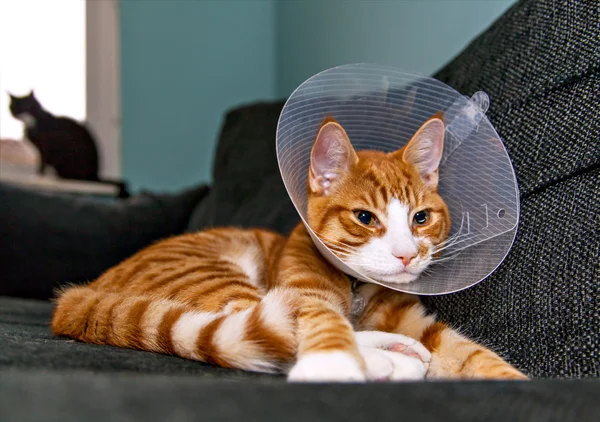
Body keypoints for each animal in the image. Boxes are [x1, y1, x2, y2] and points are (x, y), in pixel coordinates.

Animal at [54, 113, 528, 380]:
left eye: (421, 218)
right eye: (365, 218)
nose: (407, 255)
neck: (358, 290)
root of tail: (83, 294)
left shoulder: (417, 321)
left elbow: (470, 354)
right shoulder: (303, 293)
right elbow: (322, 326)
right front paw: (335, 366)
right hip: (216, 275)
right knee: (252, 334)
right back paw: (389, 361)